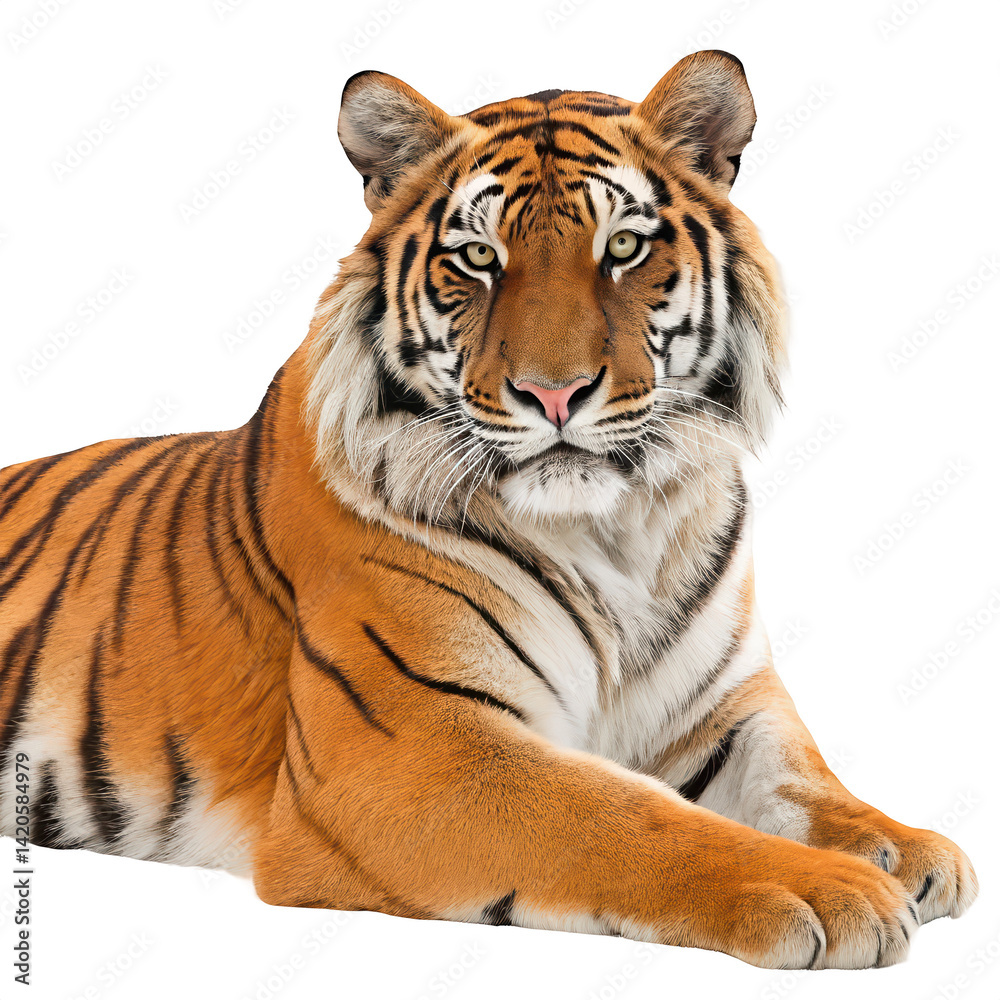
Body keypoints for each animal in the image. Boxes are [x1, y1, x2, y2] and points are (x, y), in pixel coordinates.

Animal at [0, 50, 977, 970]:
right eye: (477, 258)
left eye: (624, 248)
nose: (555, 393)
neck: (615, 532)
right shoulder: (414, 751)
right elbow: (623, 815)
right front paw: (829, 890)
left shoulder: (721, 711)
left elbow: (804, 782)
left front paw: (906, 849)